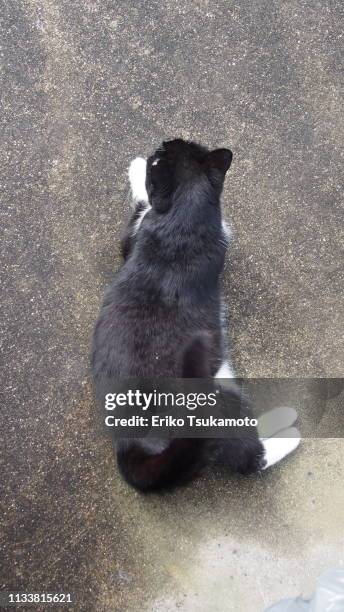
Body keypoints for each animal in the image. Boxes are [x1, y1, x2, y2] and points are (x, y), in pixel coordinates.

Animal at [91, 140, 298, 492]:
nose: (157, 147)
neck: (183, 220)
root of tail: (130, 445)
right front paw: (138, 165)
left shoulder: (135, 235)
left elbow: (143, 202)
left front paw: (138, 166)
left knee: (248, 457)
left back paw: (290, 430)